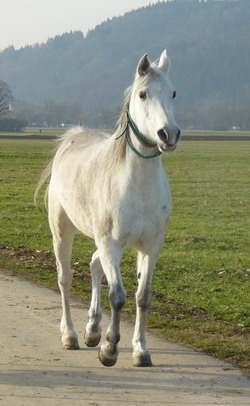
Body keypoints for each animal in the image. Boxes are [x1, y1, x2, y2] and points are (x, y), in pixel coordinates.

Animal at [37, 50, 180, 368]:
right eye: (143, 94)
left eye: (174, 93)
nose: (168, 134)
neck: (138, 187)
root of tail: (73, 137)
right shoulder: (111, 244)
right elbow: (117, 296)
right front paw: (110, 349)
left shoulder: (150, 248)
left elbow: (143, 296)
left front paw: (140, 350)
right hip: (62, 232)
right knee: (65, 278)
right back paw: (71, 335)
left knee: (93, 265)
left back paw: (92, 329)